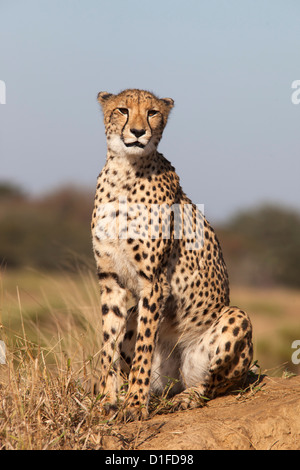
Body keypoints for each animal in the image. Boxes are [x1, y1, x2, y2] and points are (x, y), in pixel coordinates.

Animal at [92, 90, 253, 420]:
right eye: (122, 110)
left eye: (152, 112)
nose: (138, 131)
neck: (124, 171)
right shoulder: (110, 280)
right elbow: (108, 343)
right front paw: (106, 401)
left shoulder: (154, 282)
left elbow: (143, 348)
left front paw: (135, 405)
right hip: (136, 317)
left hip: (235, 318)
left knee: (211, 385)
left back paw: (186, 398)